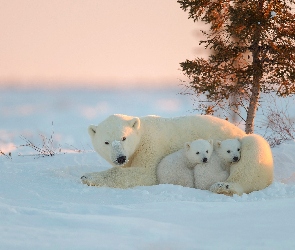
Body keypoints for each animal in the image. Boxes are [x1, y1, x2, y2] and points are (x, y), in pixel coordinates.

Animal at [81, 114, 276, 196]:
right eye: (106, 142)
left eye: (123, 137)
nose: (120, 158)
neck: (142, 132)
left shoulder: (152, 145)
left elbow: (146, 174)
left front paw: (87, 176)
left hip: (243, 146)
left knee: (253, 151)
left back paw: (224, 186)